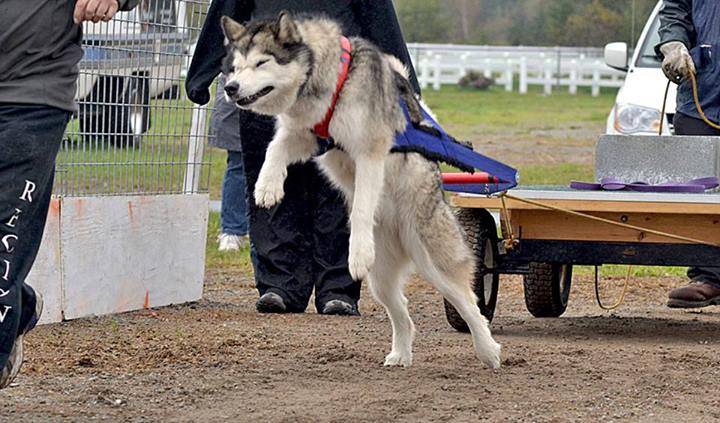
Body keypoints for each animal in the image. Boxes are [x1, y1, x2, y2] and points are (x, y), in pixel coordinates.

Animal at [219, 11, 500, 370]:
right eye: (236, 66)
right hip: (381, 281)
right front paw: (267, 186)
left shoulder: (369, 151)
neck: (332, 80)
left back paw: (488, 349)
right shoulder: (306, 136)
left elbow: (364, 205)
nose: (230, 88)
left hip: (436, 262)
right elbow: (275, 147)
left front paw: (359, 248)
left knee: (469, 303)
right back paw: (401, 353)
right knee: (403, 314)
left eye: (261, 62)